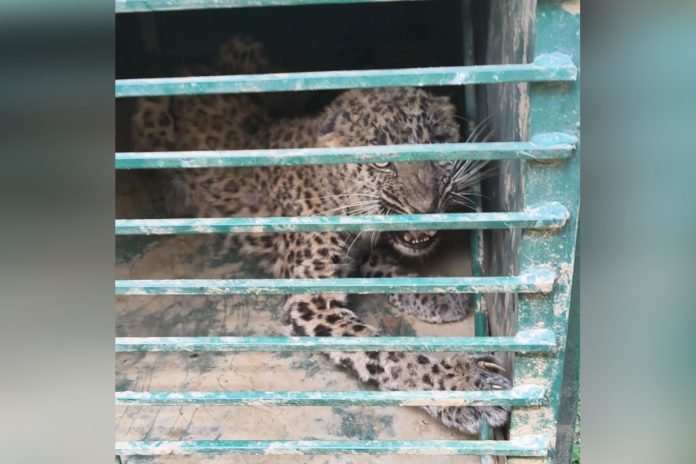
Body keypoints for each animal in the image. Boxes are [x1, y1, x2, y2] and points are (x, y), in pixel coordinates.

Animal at [130, 35, 510, 435]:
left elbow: (385, 267)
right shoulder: (312, 302)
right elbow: (388, 350)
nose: (426, 206)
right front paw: (465, 384)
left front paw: (438, 296)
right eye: (381, 161)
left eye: (437, 145)